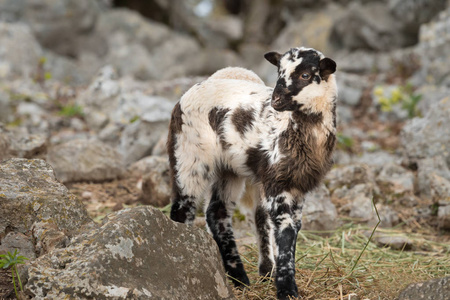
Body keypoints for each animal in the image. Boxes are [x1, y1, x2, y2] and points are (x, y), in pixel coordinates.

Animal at [169, 47, 338, 300]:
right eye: (278, 71)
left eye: (306, 75)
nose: (276, 100)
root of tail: (186, 94)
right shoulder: (276, 180)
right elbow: (285, 229)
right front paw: (286, 288)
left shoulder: (297, 184)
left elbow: (293, 229)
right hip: (189, 157)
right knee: (182, 211)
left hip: (229, 169)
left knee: (216, 213)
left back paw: (239, 279)